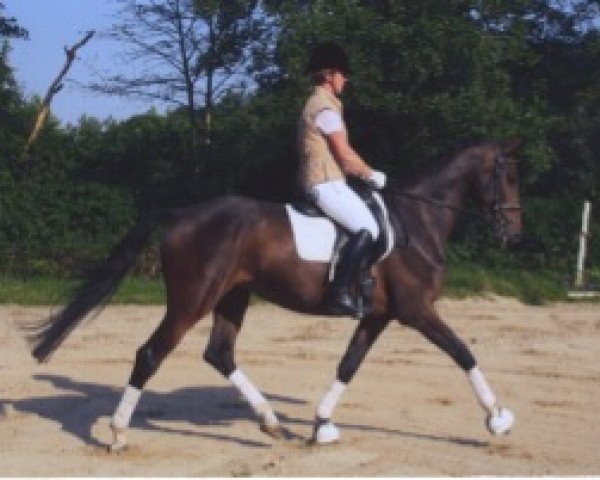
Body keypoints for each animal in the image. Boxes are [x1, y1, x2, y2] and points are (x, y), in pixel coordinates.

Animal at [22, 138, 520, 450]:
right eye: (508, 177)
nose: (514, 233)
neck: (417, 223)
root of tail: (181, 214)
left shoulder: (377, 316)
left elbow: (349, 364)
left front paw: (321, 425)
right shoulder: (417, 311)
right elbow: (463, 353)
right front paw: (497, 418)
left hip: (232, 297)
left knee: (219, 353)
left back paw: (271, 422)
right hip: (192, 301)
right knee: (150, 353)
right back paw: (119, 433)